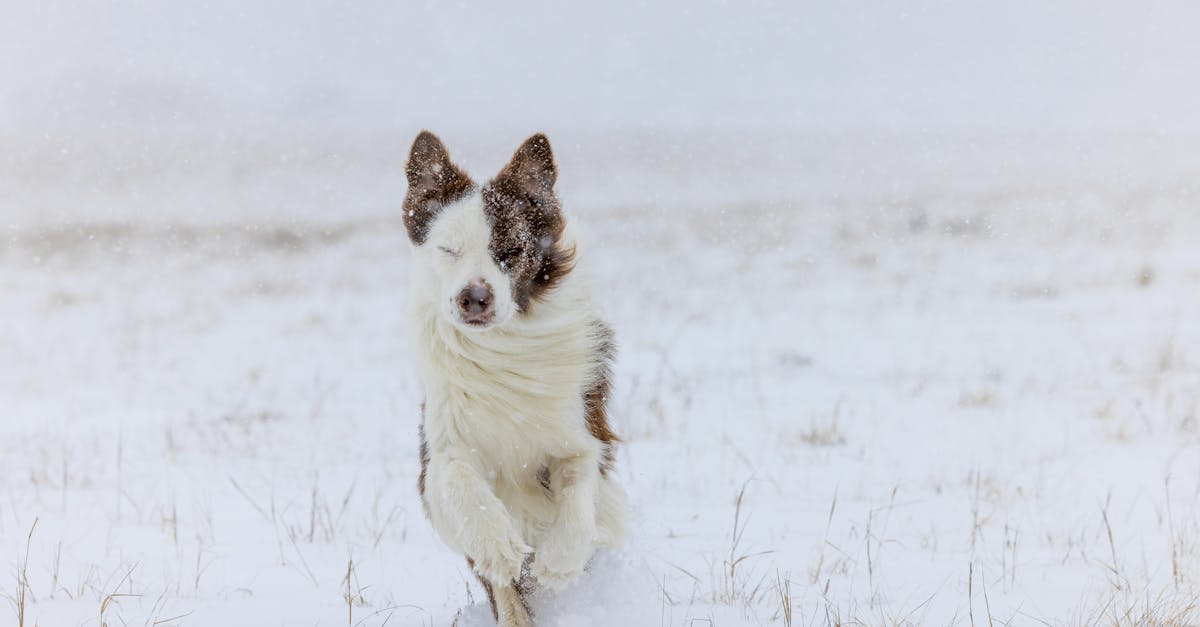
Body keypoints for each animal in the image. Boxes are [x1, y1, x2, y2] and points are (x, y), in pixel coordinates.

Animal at [403, 129, 628, 619]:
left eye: (510, 251)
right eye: (448, 250)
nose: (474, 297)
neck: (502, 346)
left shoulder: (583, 432)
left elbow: (579, 481)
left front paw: (560, 561)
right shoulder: (441, 447)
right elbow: (457, 478)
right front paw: (497, 546)